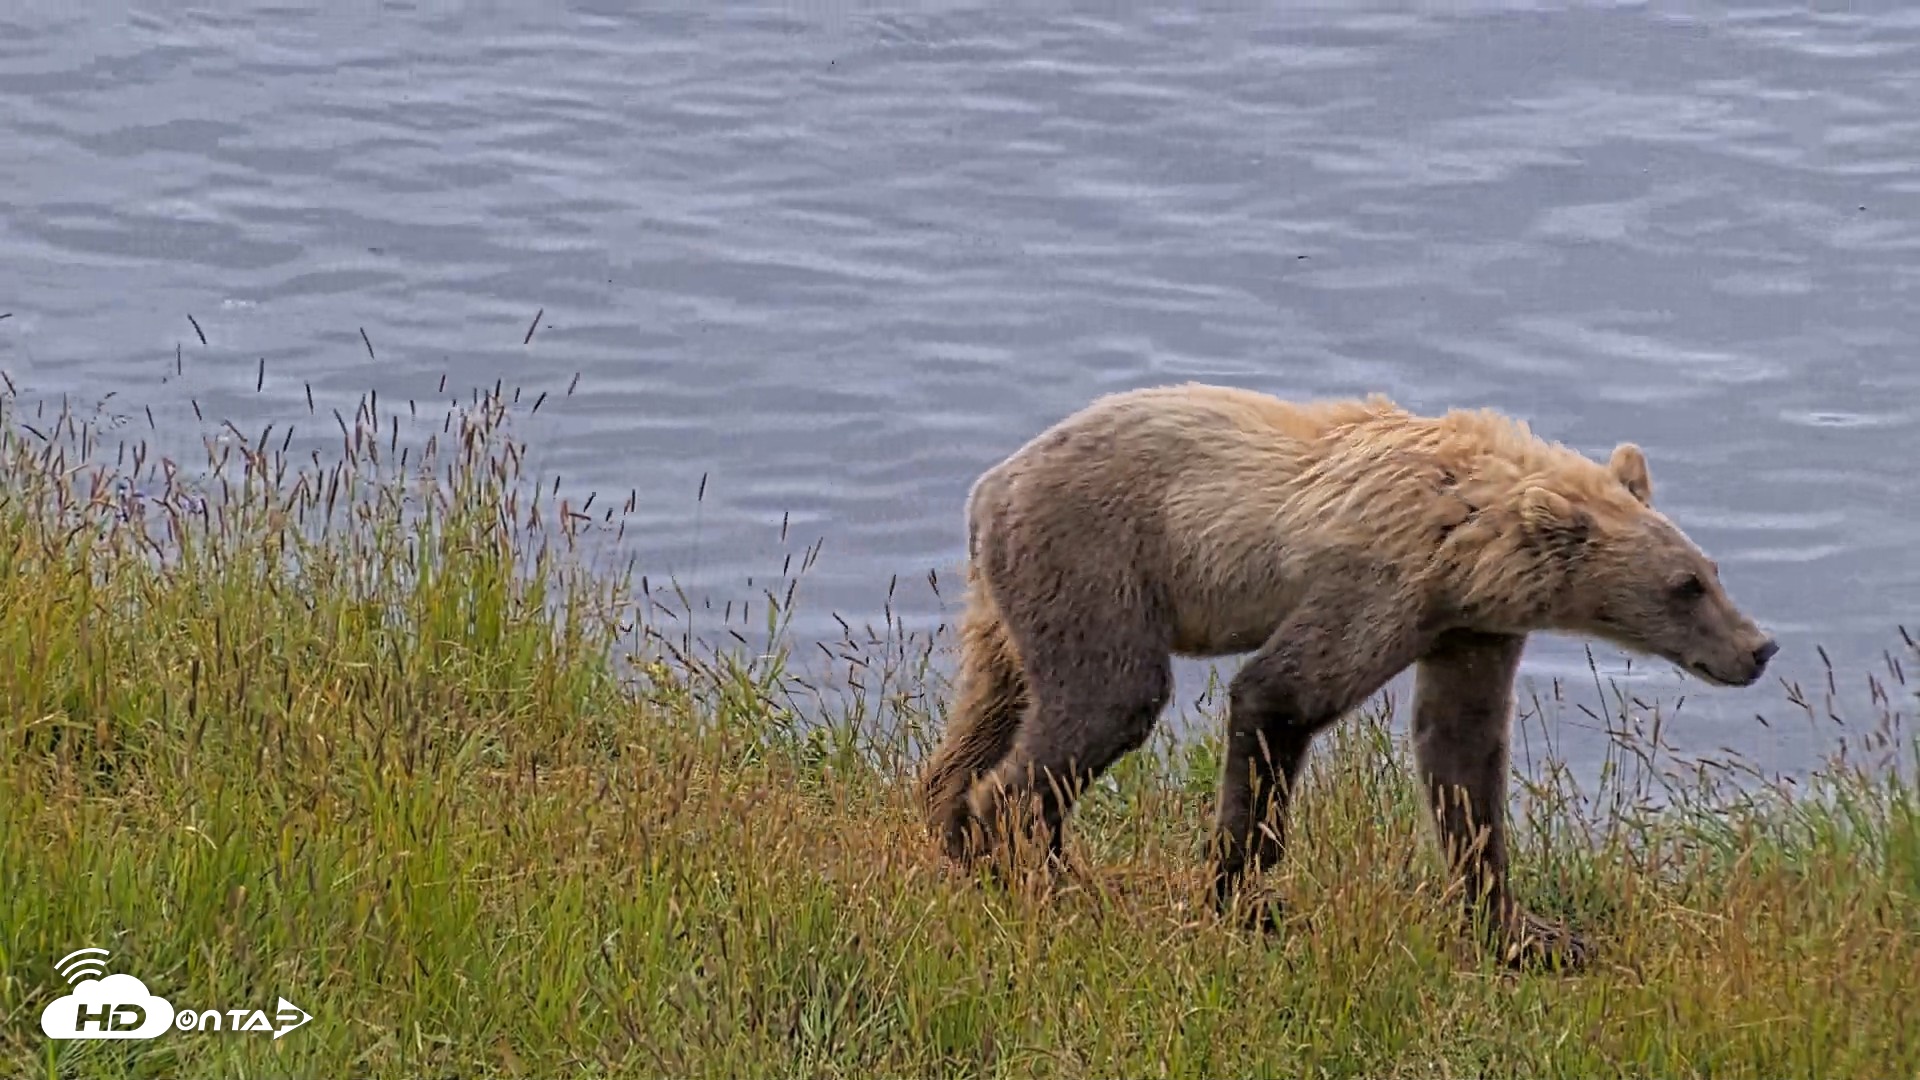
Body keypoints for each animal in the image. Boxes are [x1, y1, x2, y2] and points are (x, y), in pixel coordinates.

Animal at [917, 382, 1777, 969]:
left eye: (1710, 569)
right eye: (1685, 586)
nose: (1759, 647)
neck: (1468, 549)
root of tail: (989, 485)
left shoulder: (1469, 629)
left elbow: (1462, 754)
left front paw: (1530, 933)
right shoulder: (1380, 582)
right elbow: (1281, 696)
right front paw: (1245, 898)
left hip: (1009, 599)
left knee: (990, 707)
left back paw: (961, 824)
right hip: (1097, 561)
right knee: (1109, 698)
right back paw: (1022, 862)